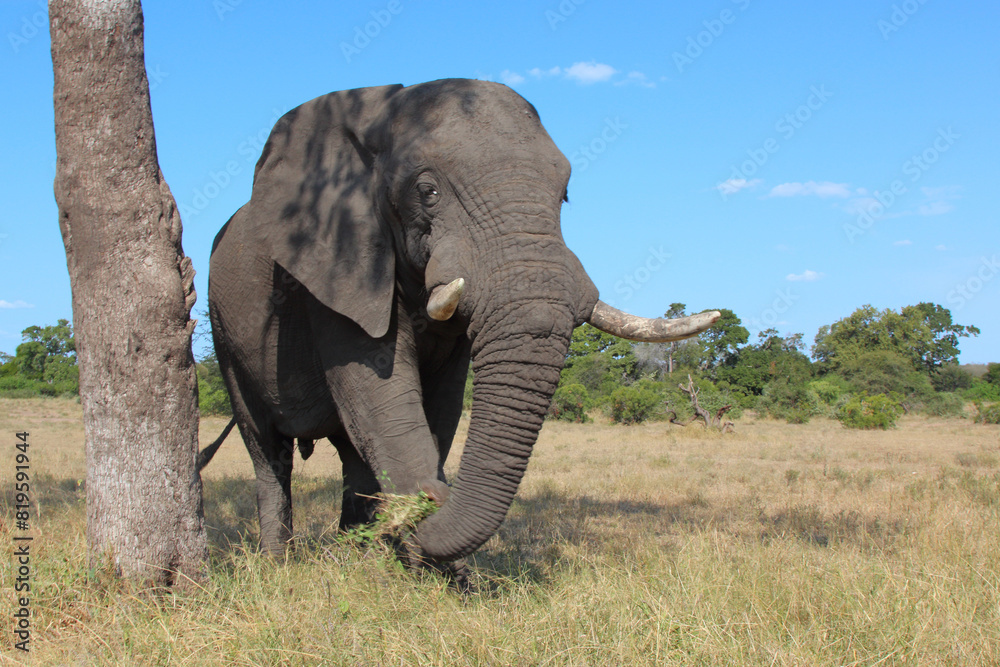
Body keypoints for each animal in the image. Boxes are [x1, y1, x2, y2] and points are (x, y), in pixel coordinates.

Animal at [207, 78, 719, 564]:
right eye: (427, 192)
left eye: (566, 195)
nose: (434, 497)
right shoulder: (337, 272)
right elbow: (384, 401)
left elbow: (441, 407)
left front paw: (436, 571)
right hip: (224, 330)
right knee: (267, 451)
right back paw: (280, 563)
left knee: (352, 453)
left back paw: (356, 552)